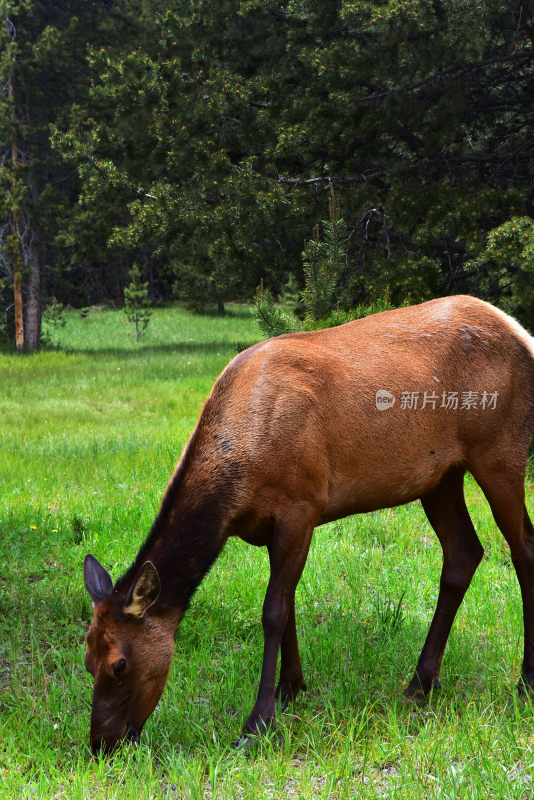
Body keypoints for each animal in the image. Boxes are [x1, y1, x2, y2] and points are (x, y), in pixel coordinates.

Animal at [82, 292, 534, 752]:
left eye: (120, 664)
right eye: (86, 659)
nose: (101, 744)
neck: (239, 486)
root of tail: (521, 332)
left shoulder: (302, 505)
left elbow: (273, 611)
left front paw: (257, 721)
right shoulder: (270, 526)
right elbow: (289, 605)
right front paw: (291, 687)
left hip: (500, 451)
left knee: (523, 549)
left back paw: (524, 681)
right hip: (441, 476)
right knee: (464, 552)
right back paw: (421, 682)